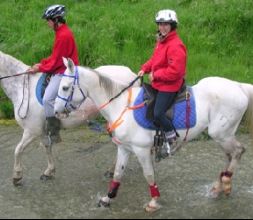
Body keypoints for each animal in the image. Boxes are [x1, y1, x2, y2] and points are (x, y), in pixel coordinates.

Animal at [0, 51, 139, 186]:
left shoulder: (32, 131)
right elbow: (46, 148)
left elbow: (18, 150)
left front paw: (17, 176)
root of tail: (132, 74)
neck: (22, 87)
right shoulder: (41, 131)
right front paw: (49, 171)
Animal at [54, 57, 253, 212]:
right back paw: (219, 187)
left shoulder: (141, 150)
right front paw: (107, 198)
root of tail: (239, 86)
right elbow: (118, 173)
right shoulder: (124, 148)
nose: (56, 112)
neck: (121, 105)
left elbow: (149, 175)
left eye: (64, 87)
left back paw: (225, 183)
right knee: (230, 155)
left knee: (238, 151)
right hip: (223, 136)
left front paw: (154, 202)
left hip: (221, 134)